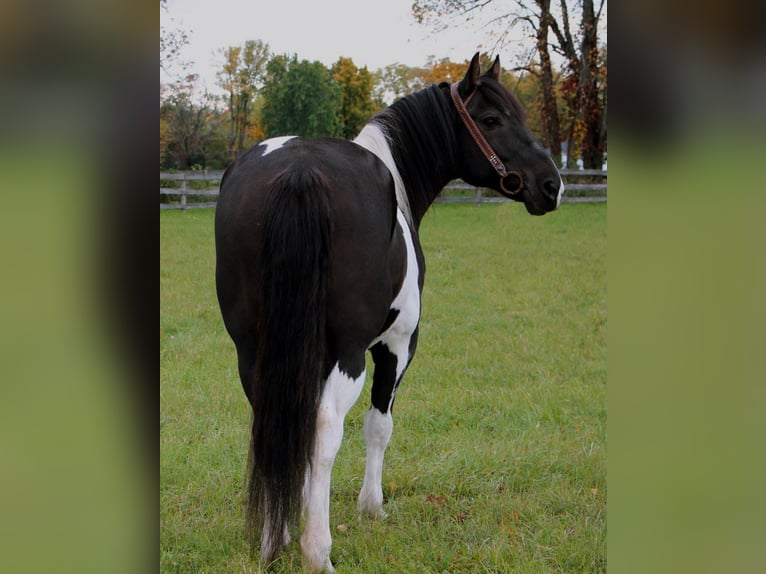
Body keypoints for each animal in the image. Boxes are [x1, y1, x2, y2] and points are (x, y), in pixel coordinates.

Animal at [214, 53, 564, 572]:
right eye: (491, 120)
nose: (551, 185)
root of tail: (299, 171)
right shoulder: (396, 346)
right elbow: (379, 426)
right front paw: (370, 507)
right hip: (349, 352)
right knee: (325, 428)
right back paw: (318, 552)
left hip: (253, 350)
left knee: (273, 423)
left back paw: (274, 539)